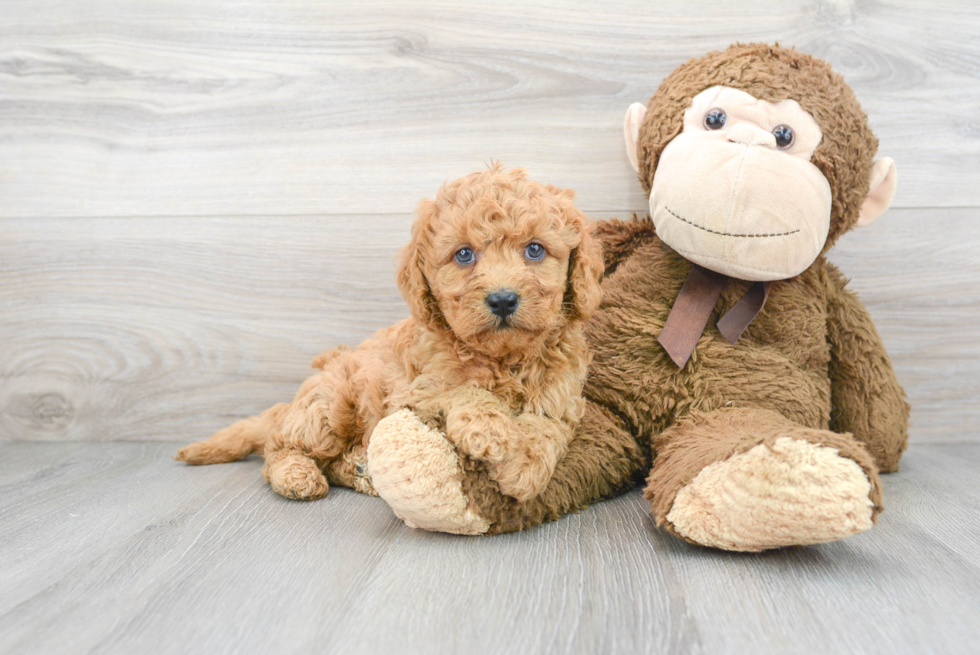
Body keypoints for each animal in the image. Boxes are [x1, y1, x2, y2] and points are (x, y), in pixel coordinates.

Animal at [176, 167, 604, 504]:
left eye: (535, 249)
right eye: (464, 255)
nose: (502, 300)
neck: (503, 359)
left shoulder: (562, 396)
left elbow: (547, 426)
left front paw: (524, 466)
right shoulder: (413, 395)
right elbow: (461, 390)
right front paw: (490, 429)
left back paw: (361, 470)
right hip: (328, 408)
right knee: (280, 448)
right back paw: (297, 476)